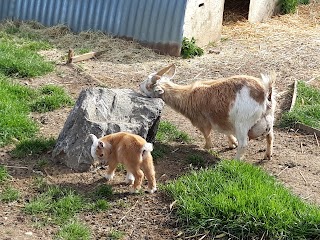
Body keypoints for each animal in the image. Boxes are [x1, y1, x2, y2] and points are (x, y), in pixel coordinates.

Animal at [140, 64, 278, 160]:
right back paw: (267, 155)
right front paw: (232, 143)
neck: (188, 96)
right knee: (270, 136)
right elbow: (226, 131)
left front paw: (207, 147)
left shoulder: (202, 122)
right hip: (268, 118)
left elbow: (207, 134)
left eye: (148, 86)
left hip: (243, 122)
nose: (139, 86)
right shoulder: (222, 120)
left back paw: (235, 161)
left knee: (244, 144)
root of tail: (265, 91)